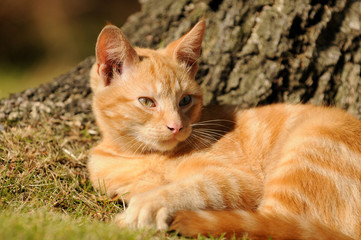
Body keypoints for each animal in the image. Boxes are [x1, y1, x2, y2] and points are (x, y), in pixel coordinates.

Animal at [87, 19, 360, 239]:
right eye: (147, 102)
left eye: (185, 100)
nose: (176, 127)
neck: (143, 155)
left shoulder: (239, 180)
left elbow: (192, 188)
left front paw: (147, 205)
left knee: (271, 225)